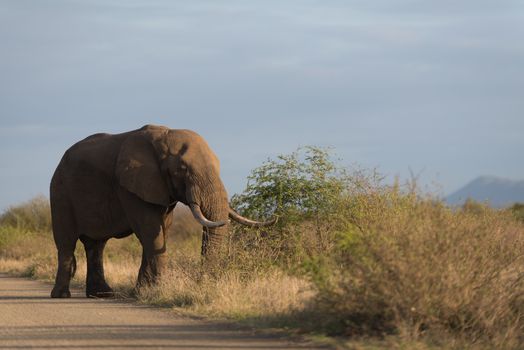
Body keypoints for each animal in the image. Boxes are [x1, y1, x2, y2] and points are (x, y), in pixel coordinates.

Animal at [49, 124, 274, 296]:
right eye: (182, 169)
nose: (202, 283)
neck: (165, 135)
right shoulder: (129, 186)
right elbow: (150, 230)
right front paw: (159, 290)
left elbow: (161, 230)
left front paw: (142, 292)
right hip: (60, 192)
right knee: (66, 242)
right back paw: (62, 295)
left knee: (96, 245)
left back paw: (103, 294)